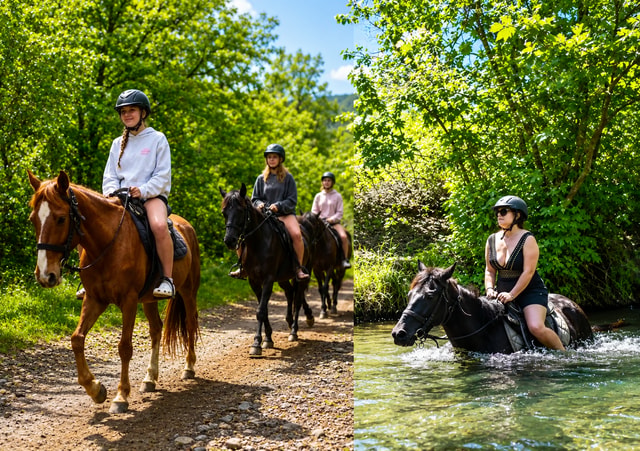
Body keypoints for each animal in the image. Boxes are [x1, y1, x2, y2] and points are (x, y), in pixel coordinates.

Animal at [28, 170, 200, 413]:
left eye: (61, 218)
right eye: (33, 219)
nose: (45, 275)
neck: (107, 244)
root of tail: (187, 227)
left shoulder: (128, 301)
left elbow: (124, 347)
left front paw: (120, 396)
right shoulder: (94, 299)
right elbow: (77, 339)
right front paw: (95, 389)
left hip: (188, 291)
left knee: (190, 323)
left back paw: (189, 367)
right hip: (149, 299)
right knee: (156, 330)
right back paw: (150, 378)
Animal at [219, 183, 314, 356]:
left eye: (241, 211)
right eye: (224, 212)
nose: (229, 241)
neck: (258, 243)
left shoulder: (268, 280)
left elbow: (261, 311)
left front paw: (256, 343)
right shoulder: (254, 281)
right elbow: (264, 310)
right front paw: (268, 339)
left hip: (302, 275)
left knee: (297, 299)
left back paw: (294, 331)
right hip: (283, 278)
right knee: (290, 292)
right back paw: (289, 322)